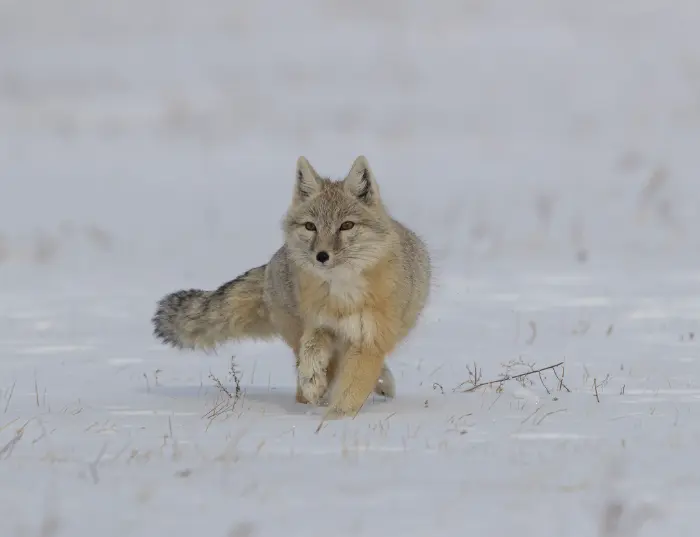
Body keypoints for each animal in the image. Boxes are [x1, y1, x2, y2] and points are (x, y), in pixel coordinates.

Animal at [150, 156, 430, 418]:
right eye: (310, 226)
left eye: (346, 226)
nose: (322, 256)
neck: (343, 297)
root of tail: (272, 263)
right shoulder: (319, 325)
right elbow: (311, 352)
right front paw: (313, 384)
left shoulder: (369, 340)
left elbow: (351, 388)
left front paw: (333, 421)